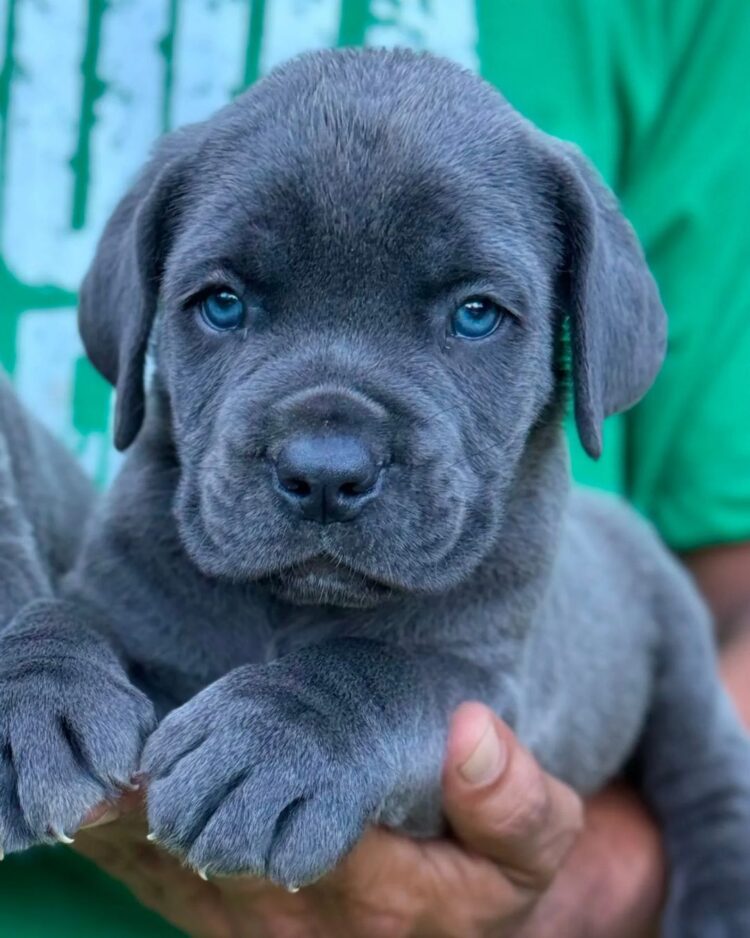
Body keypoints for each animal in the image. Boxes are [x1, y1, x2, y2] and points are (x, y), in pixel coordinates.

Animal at [1, 49, 750, 928]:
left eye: (476, 315)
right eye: (221, 303)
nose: (326, 470)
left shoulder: (480, 688)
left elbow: (378, 671)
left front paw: (276, 741)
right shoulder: (133, 608)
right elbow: (62, 616)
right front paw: (30, 698)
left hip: (680, 650)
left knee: (707, 773)